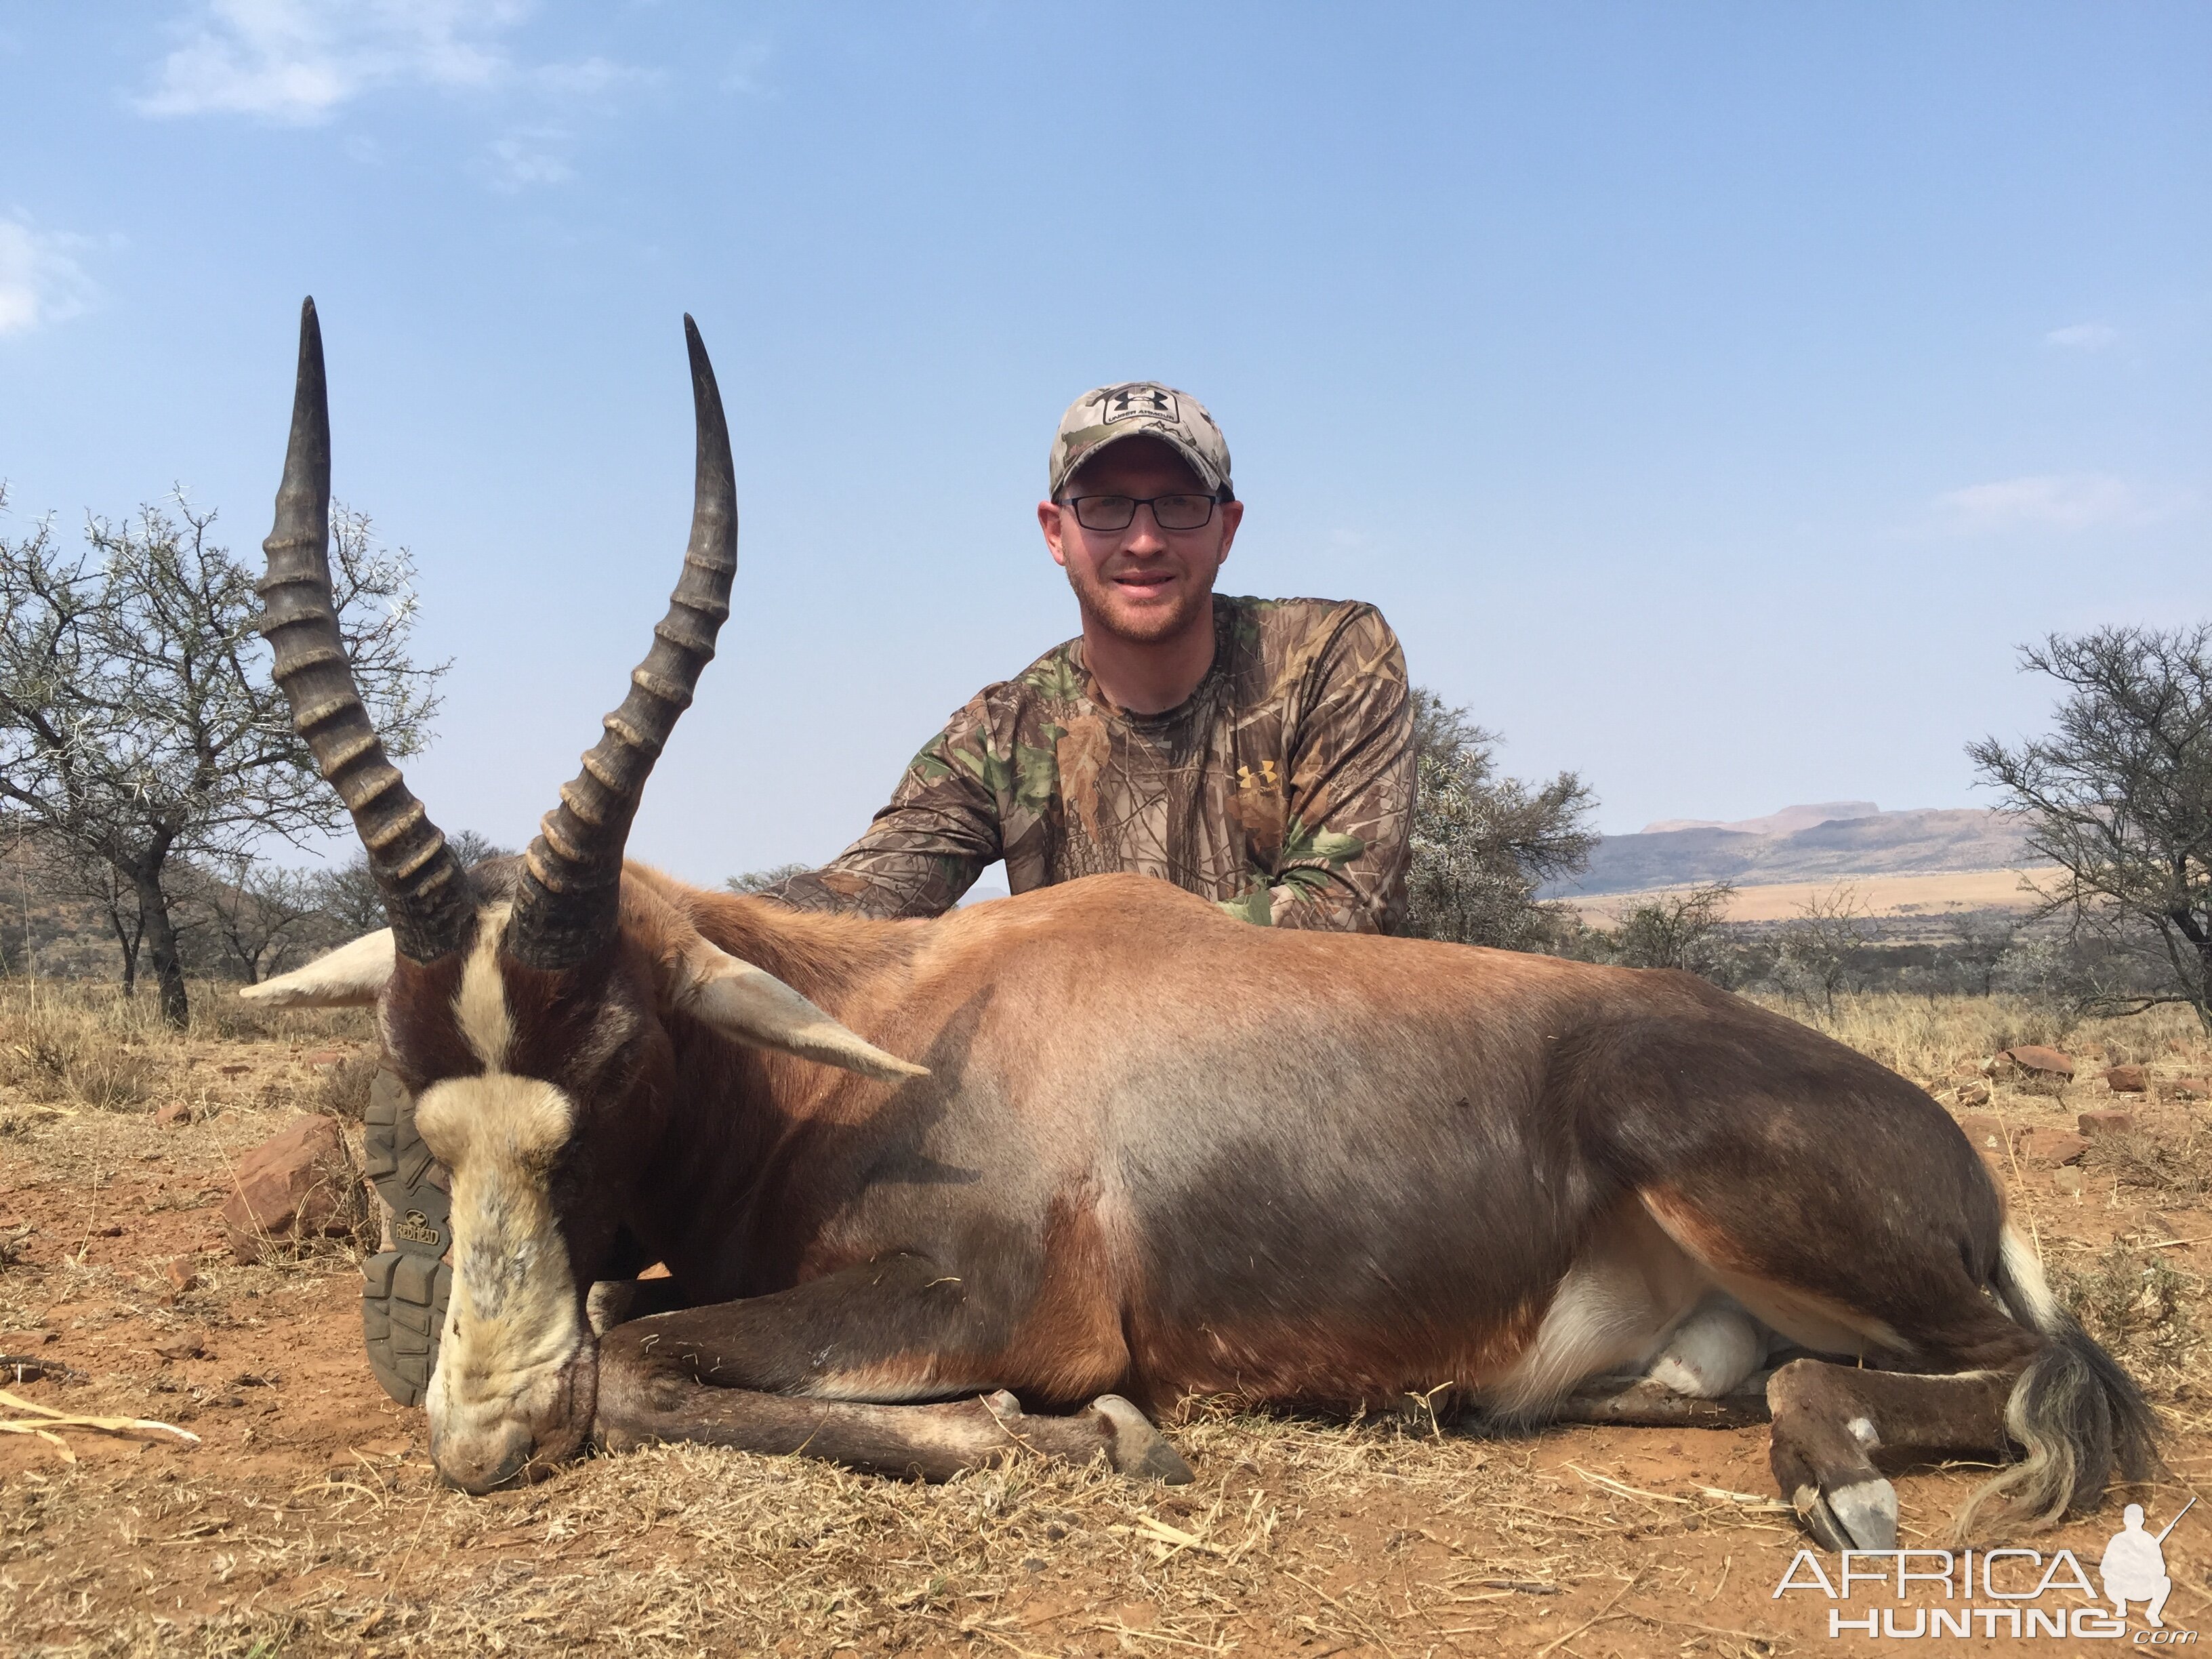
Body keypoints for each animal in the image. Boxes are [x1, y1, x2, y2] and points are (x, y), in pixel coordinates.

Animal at [246, 303, 2158, 1557]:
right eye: (412, 1083)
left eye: (619, 1058)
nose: (479, 1427)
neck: (900, 1038)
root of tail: (1954, 1159)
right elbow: (628, 1328)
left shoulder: (979, 1300)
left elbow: (637, 1362)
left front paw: (1094, 1439)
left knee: (2055, 1372)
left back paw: (1844, 1472)